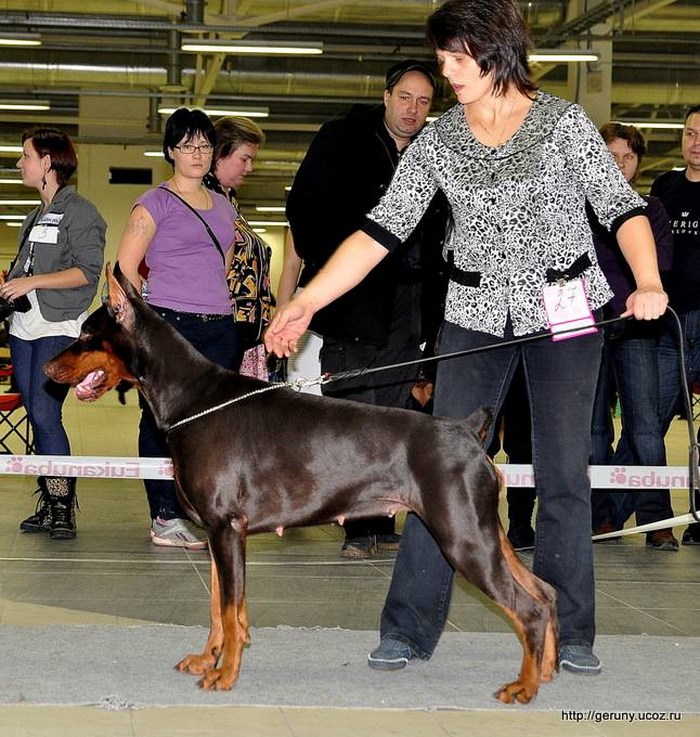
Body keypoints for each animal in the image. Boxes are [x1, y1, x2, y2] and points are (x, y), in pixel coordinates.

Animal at [44, 264, 558, 704]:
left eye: (87, 334)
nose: (48, 369)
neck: (192, 399)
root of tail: (467, 431)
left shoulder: (227, 527)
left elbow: (229, 609)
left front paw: (225, 675)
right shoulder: (215, 533)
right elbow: (219, 606)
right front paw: (208, 659)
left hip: (463, 535)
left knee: (527, 608)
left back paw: (524, 686)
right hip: (483, 530)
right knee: (543, 592)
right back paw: (547, 669)